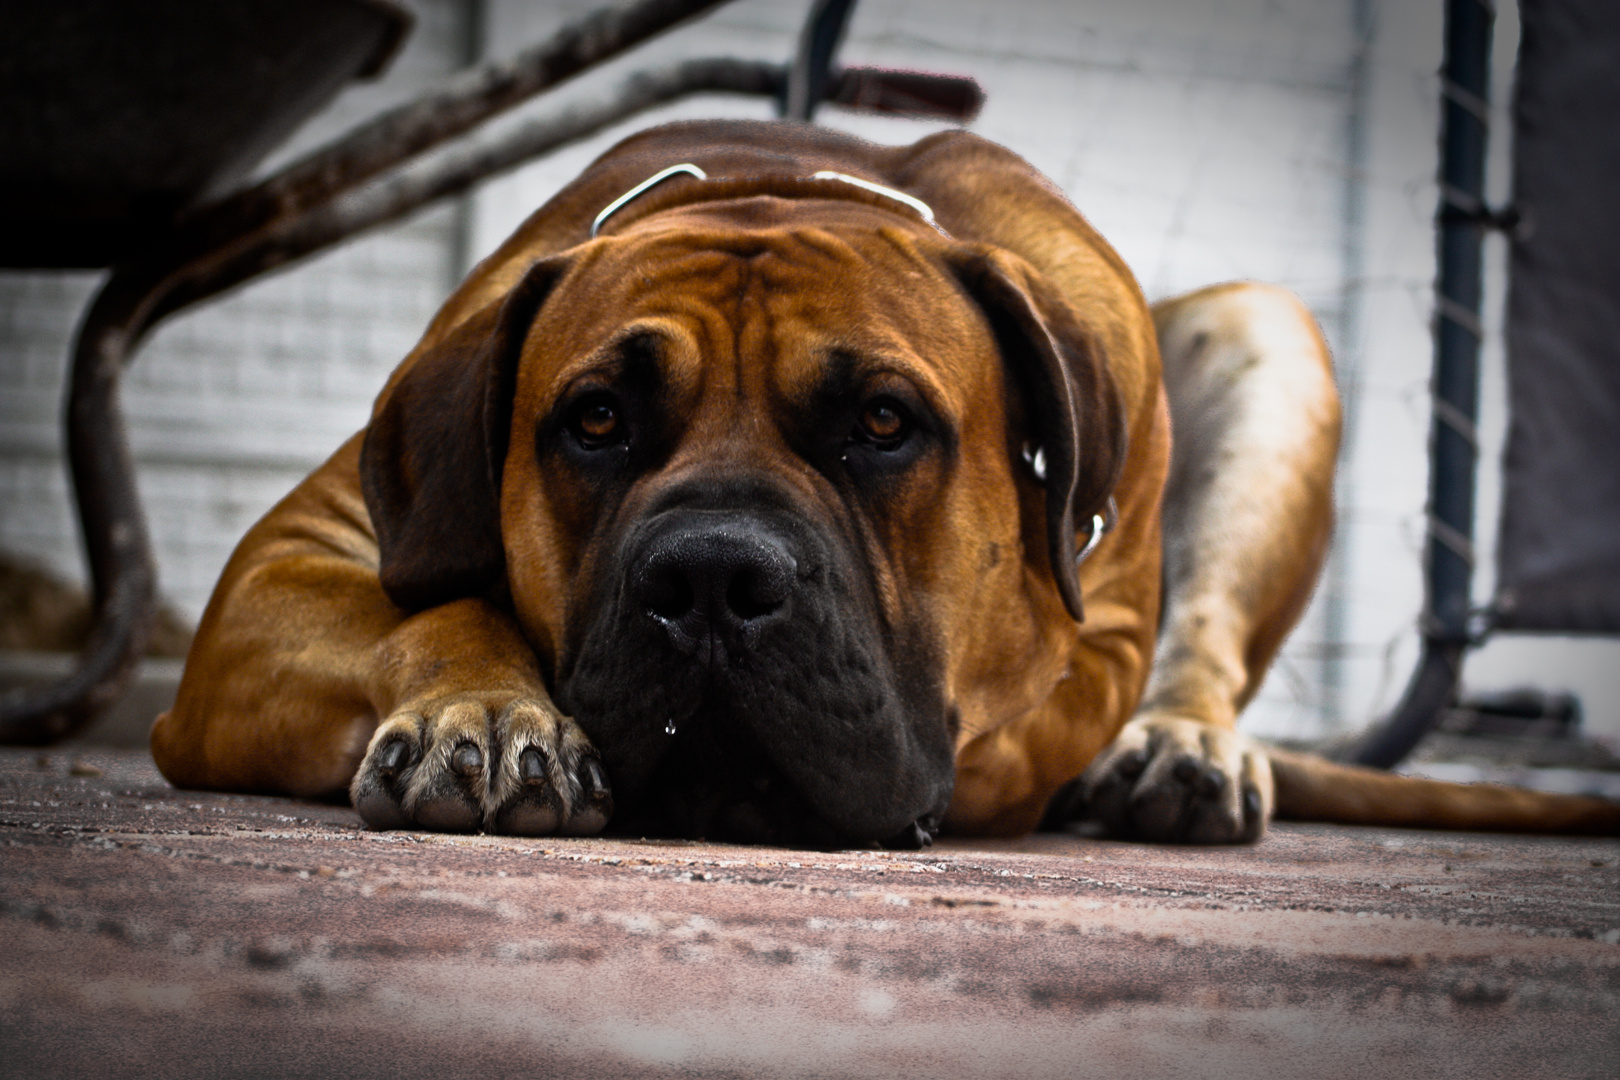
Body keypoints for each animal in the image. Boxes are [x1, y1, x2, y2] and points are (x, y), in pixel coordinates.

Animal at [152, 118, 1620, 841]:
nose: (711, 578)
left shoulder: (1095, 644)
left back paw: (1181, 755)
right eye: (596, 421)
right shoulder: (285, 563)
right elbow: (440, 602)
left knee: (1198, 662)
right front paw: (489, 711)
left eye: (881, 421)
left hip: (1271, 337)